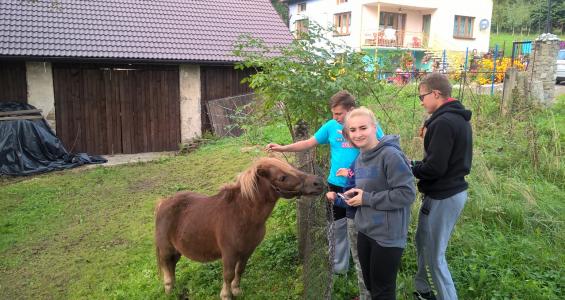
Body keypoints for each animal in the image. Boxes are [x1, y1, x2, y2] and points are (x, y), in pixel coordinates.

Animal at [154, 157, 322, 298]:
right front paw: (226, 295)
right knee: (166, 264)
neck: (242, 215)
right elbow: (228, 274)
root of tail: (163, 203)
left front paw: (236, 290)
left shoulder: (247, 250)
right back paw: (169, 289)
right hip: (166, 248)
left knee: (172, 264)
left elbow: (240, 270)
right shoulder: (229, 253)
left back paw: (175, 288)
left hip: (177, 249)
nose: (318, 182)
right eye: (282, 177)